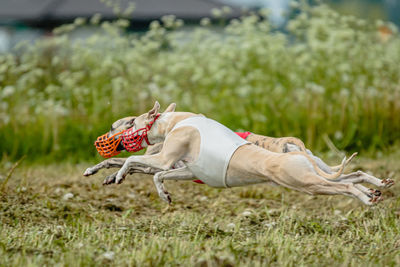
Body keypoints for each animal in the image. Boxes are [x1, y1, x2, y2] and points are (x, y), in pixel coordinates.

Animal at [83, 102, 394, 205]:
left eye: (123, 124)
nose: (101, 138)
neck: (174, 121)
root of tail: (295, 149)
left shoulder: (163, 159)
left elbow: (131, 160)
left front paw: (119, 176)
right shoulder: (185, 169)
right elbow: (149, 172)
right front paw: (101, 173)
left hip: (307, 182)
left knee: (347, 186)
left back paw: (366, 197)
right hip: (319, 174)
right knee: (353, 175)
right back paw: (376, 188)